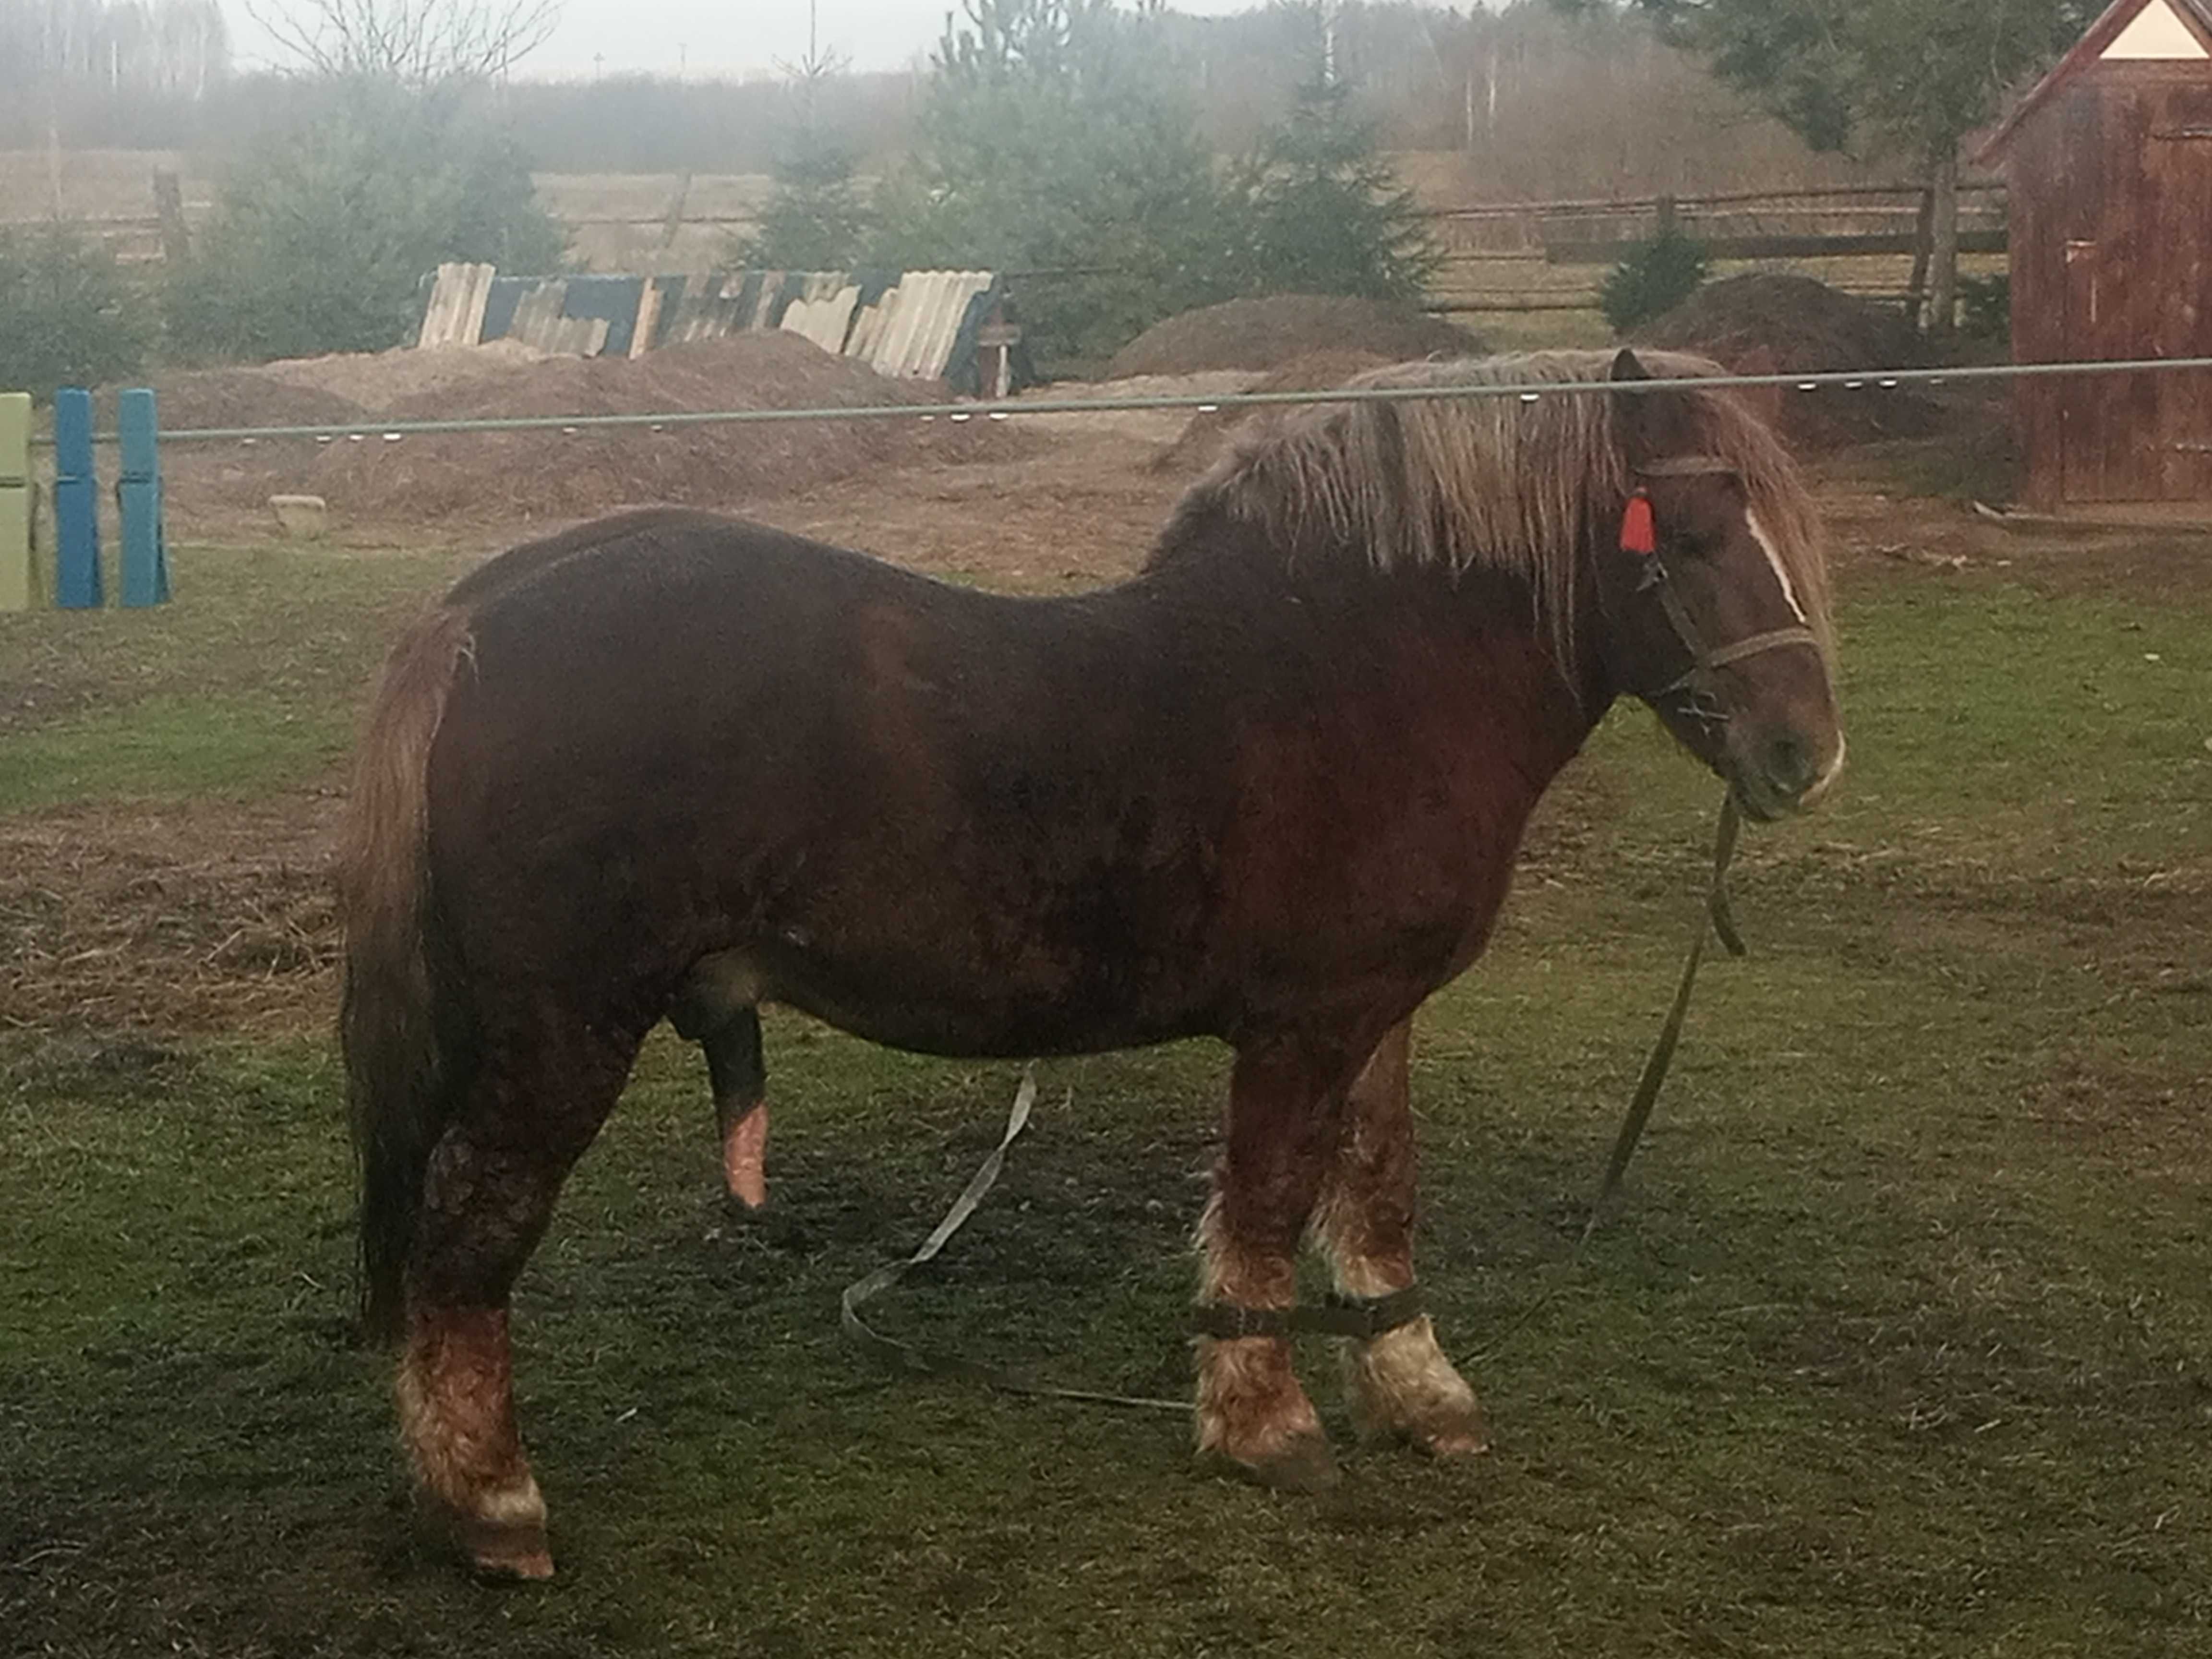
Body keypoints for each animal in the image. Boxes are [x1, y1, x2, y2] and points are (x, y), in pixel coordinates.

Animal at [340, 347, 1831, 1575]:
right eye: (1692, 534)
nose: (1805, 752)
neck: (1359, 671)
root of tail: (481, 613)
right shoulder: (1300, 1024)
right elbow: (1268, 1206)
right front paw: (1265, 1423)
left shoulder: (1378, 1013)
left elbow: (1379, 1193)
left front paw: (1417, 1392)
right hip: (559, 1037)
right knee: (467, 1242)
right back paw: (494, 1505)